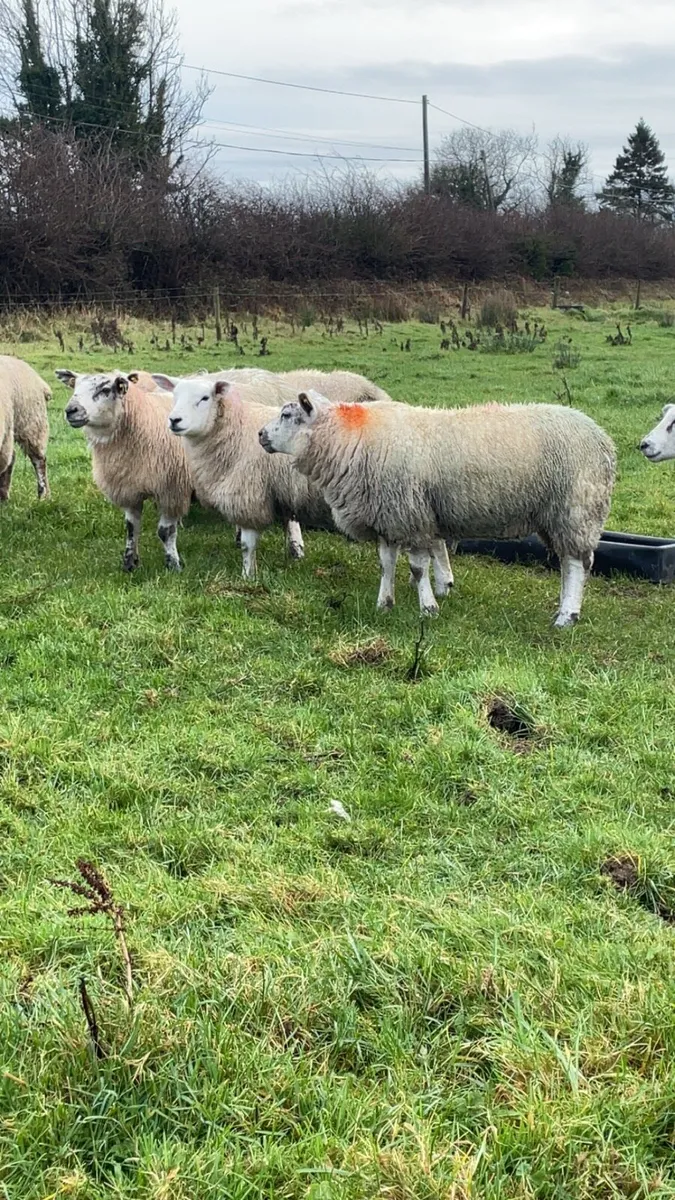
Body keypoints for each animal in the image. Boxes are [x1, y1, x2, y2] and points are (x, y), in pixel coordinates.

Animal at [56, 369, 192, 572]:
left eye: (105, 389)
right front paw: (129, 563)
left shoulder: (171, 489)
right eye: (75, 386)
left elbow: (165, 532)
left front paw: (173, 565)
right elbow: (131, 527)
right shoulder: (128, 487)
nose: (71, 410)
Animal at [259, 393, 616, 627]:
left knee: (577, 564)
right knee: (569, 564)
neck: (350, 438)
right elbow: (386, 564)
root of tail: (603, 439)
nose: (260, 433)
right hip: (557, 516)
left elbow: (418, 568)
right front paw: (384, 603)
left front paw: (428, 608)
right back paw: (563, 608)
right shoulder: (388, 517)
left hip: (576, 509)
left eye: (287, 415)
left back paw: (567, 616)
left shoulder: (411, 516)